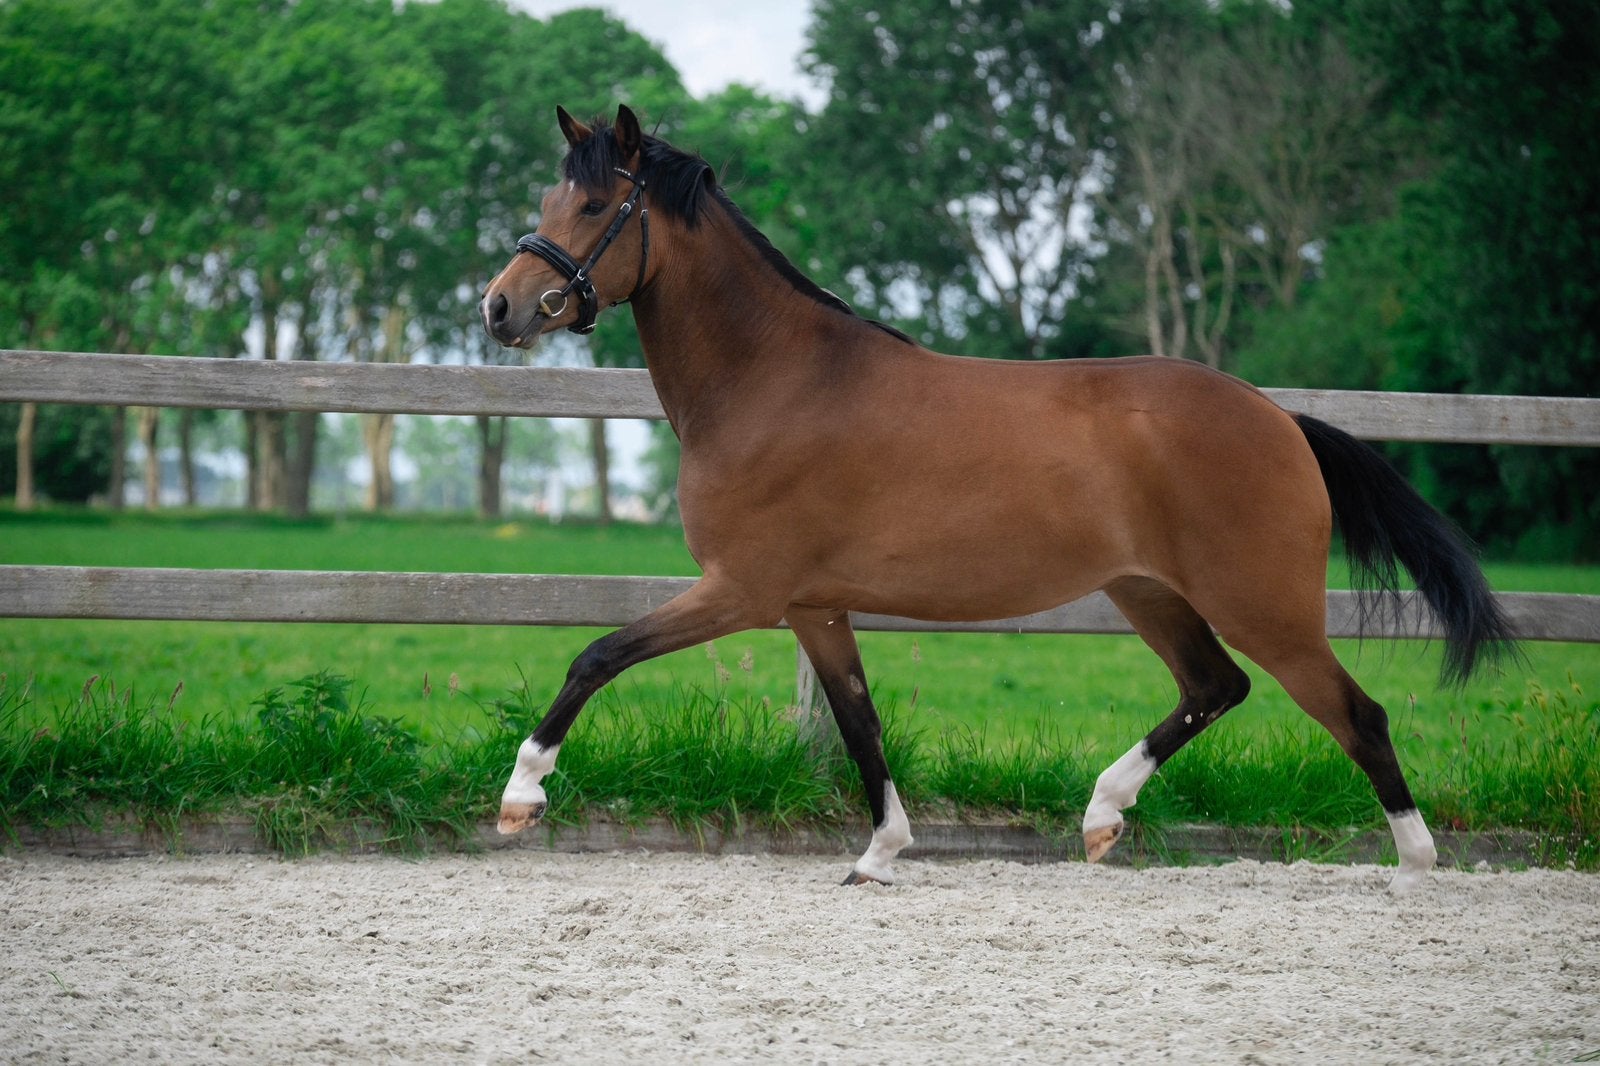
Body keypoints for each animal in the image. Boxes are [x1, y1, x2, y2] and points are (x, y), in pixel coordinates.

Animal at [480, 105, 1516, 892]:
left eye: (598, 202)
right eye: (549, 198)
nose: (501, 306)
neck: (774, 380)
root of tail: (1278, 417)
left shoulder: (743, 590)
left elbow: (597, 655)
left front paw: (520, 798)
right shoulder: (814, 606)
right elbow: (859, 725)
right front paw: (880, 853)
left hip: (1265, 604)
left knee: (1356, 715)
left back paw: (1413, 866)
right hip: (1149, 591)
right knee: (1215, 687)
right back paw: (1101, 815)